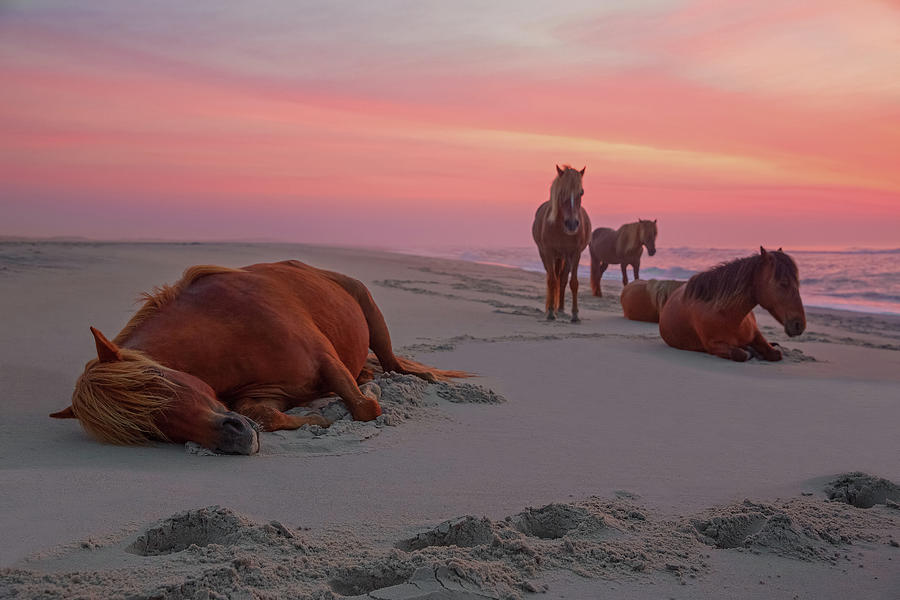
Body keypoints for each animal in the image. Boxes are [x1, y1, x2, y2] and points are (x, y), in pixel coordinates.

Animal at [50, 260, 468, 452]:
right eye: (145, 431)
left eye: (159, 380)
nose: (233, 440)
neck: (226, 331)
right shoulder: (264, 393)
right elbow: (265, 416)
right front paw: (319, 420)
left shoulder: (326, 361)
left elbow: (365, 409)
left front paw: (367, 399)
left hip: (372, 317)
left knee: (393, 364)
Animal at [656, 247, 804, 360]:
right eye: (783, 283)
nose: (799, 325)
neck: (728, 316)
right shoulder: (713, 345)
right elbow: (741, 354)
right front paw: (748, 351)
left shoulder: (756, 334)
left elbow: (775, 353)